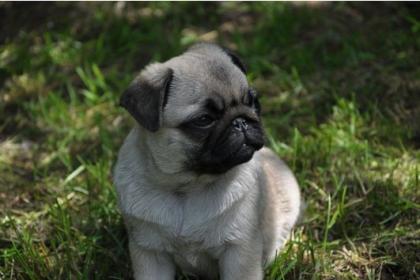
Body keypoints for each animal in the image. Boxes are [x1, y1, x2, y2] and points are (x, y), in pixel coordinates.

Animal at [113, 42, 300, 278]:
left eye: (253, 102)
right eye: (204, 120)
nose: (241, 121)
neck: (187, 188)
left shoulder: (239, 251)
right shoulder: (150, 252)